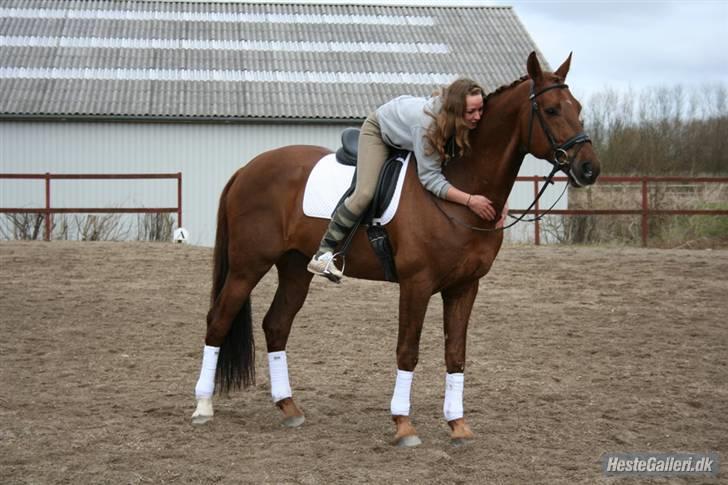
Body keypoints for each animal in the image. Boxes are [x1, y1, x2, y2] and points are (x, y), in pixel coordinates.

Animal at [191, 53, 600, 446]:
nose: (589, 168)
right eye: (551, 110)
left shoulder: (464, 287)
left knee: (276, 325)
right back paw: (203, 406)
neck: (459, 187)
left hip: (294, 268)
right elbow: (408, 350)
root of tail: (247, 169)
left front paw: (458, 425)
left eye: (578, 107)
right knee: (218, 321)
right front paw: (404, 425)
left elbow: (456, 354)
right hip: (247, 267)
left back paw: (289, 407)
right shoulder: (416, 284)